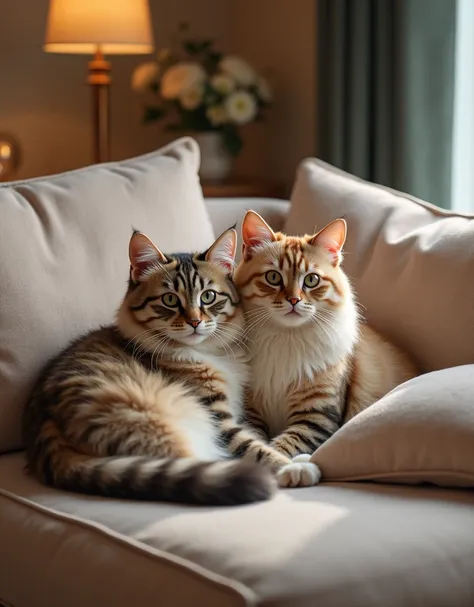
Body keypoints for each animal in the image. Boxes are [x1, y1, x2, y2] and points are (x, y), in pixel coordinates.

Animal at [22, 228, 298, 508]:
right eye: (169, 300)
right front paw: (291, 467)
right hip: (161, 423)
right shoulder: (218, 419)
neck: (204, 351)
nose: (195, 322)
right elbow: (254, 447)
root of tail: (43, 425)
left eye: (208, 296)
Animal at [234, 211, 418, 486]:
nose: (294, 300)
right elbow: (257, 444)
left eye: (311, 280)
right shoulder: (250, 411)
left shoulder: (316, 414)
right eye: (273, 277)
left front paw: (293, 470)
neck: (285, 338)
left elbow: (286, 443)